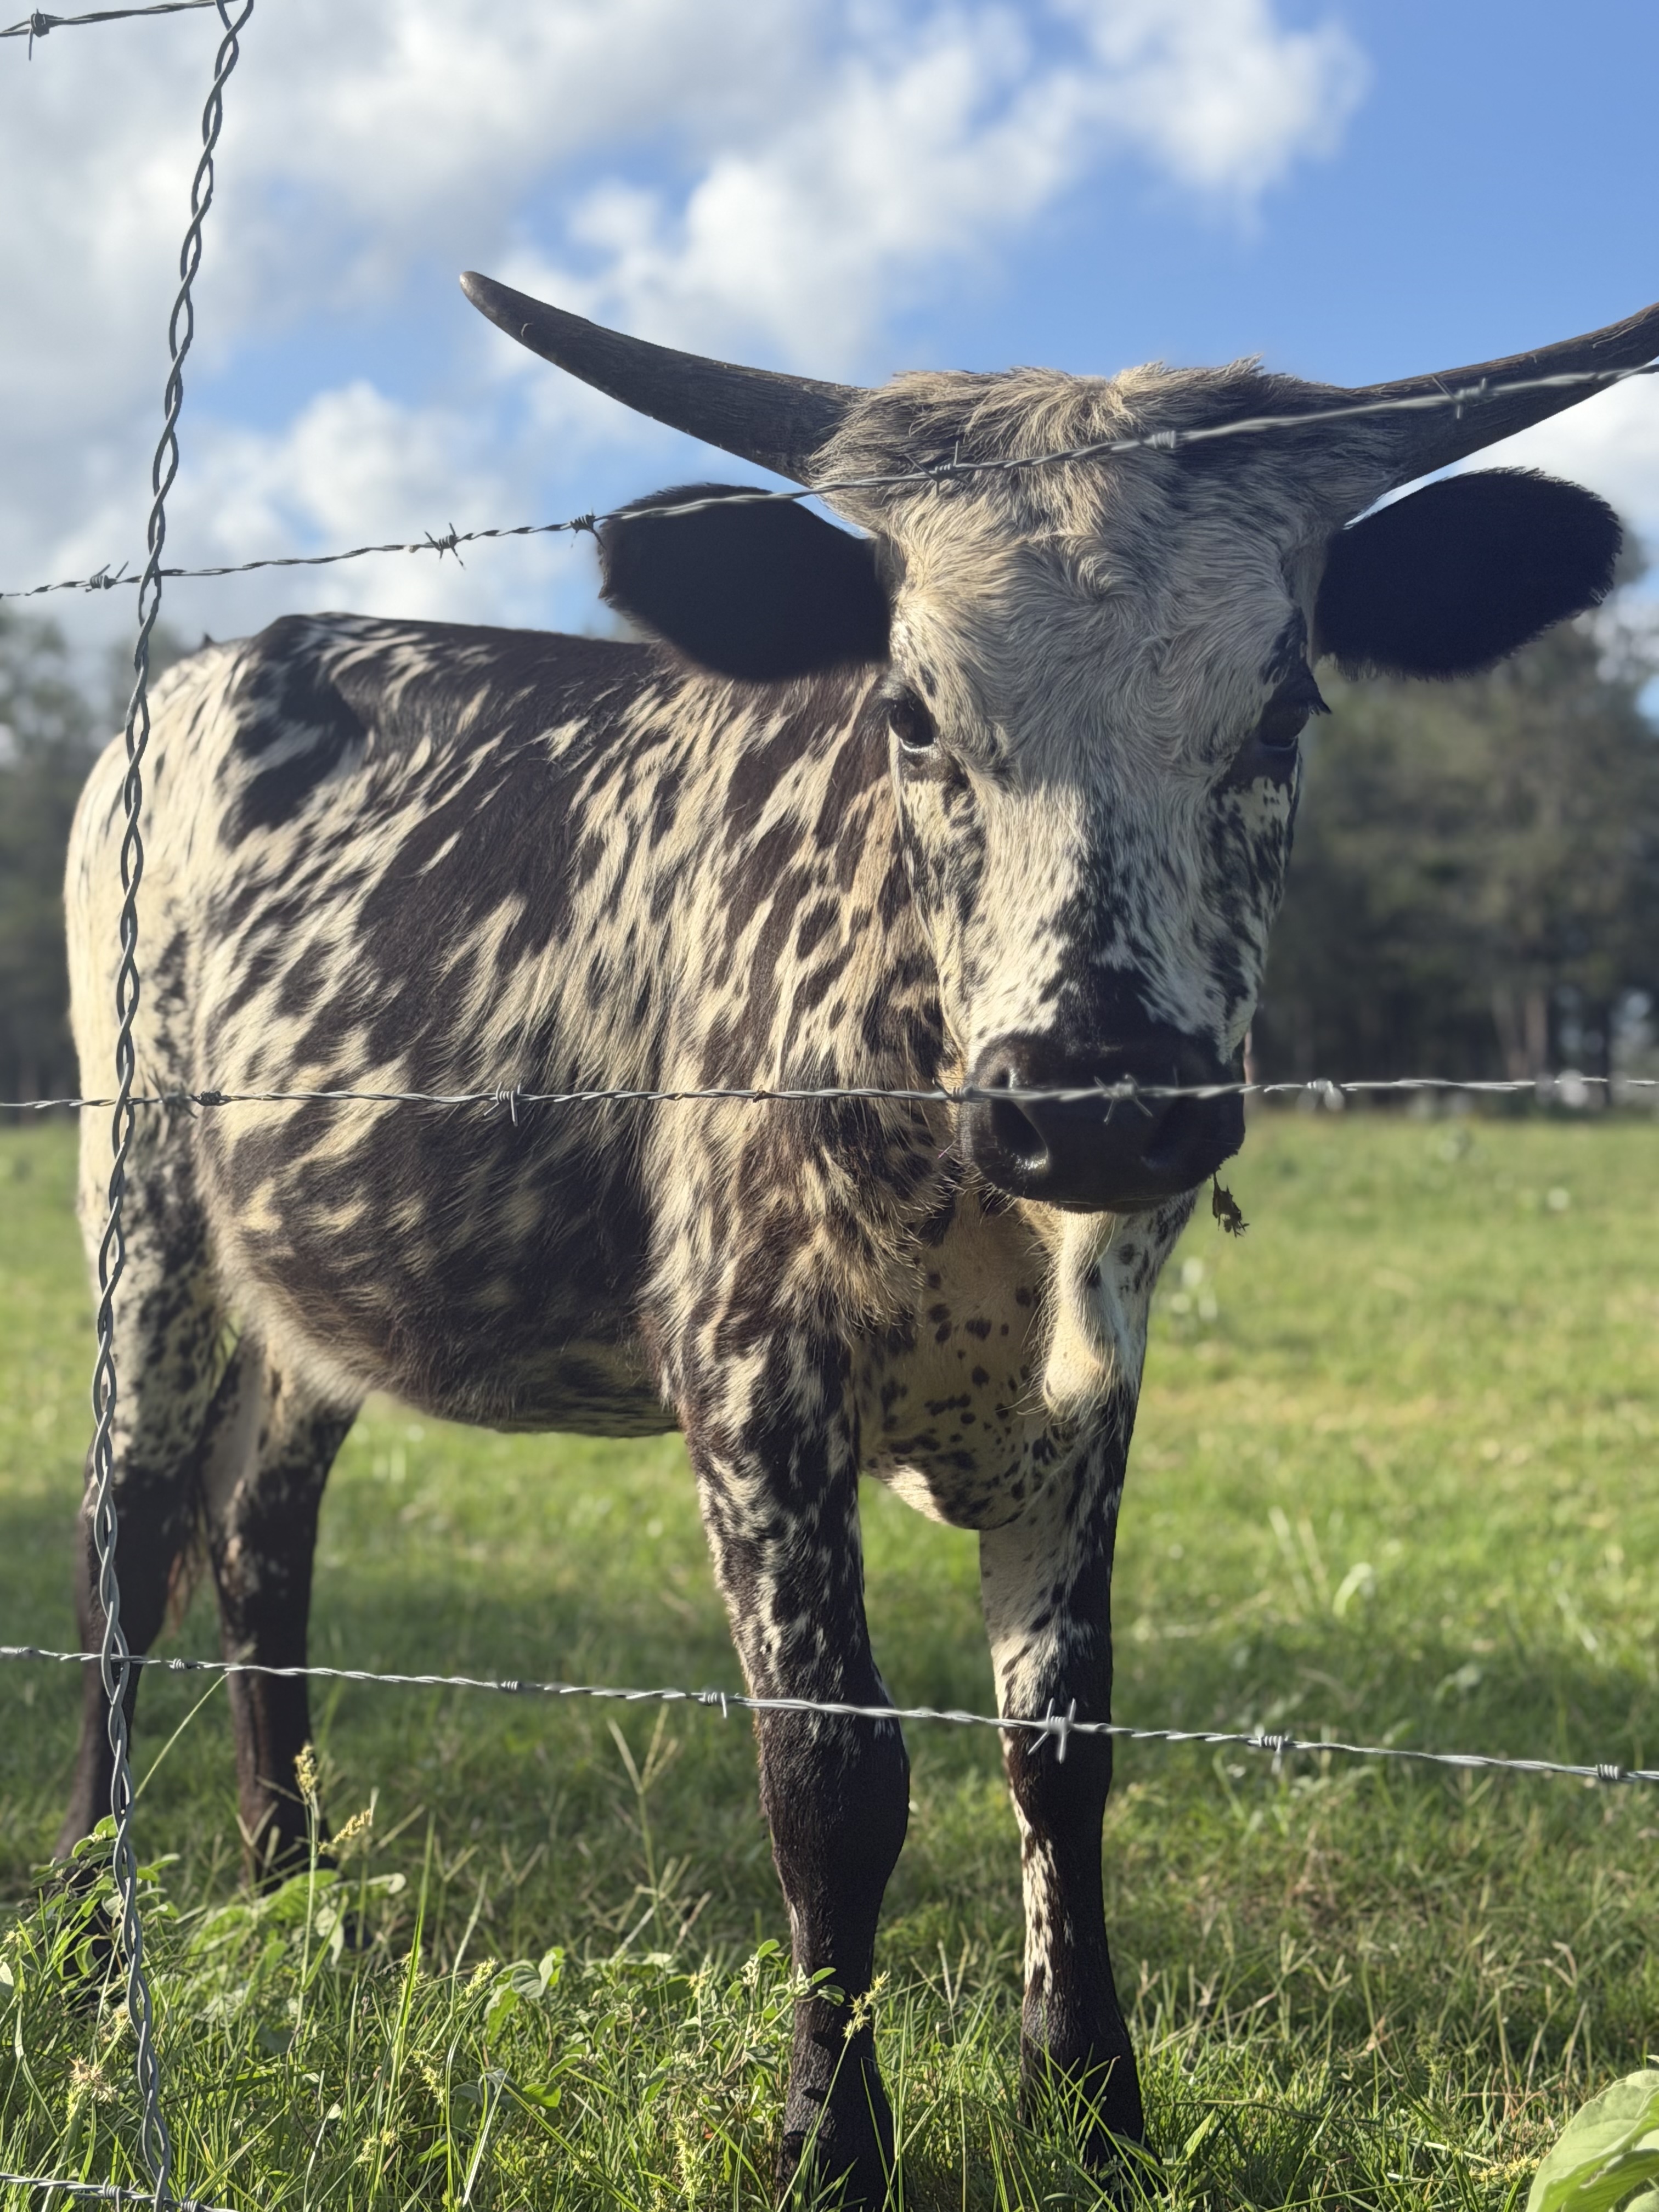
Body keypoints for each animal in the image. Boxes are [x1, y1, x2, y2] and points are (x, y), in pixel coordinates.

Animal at [59, 276, 1656, 2204]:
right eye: (909, 709)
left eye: (1284, 709)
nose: (1100, 1101)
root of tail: (218, 666)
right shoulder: (755, 1379)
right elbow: (832, 1776)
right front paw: (830, 2136)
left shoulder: (1095, 1404)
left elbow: (1063, 1747)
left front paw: (1091, 2102)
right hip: (141, 1200)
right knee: (124, 1543)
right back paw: (85, 1949)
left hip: (328, 1279)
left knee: (260, 1535)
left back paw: (297, 1897)